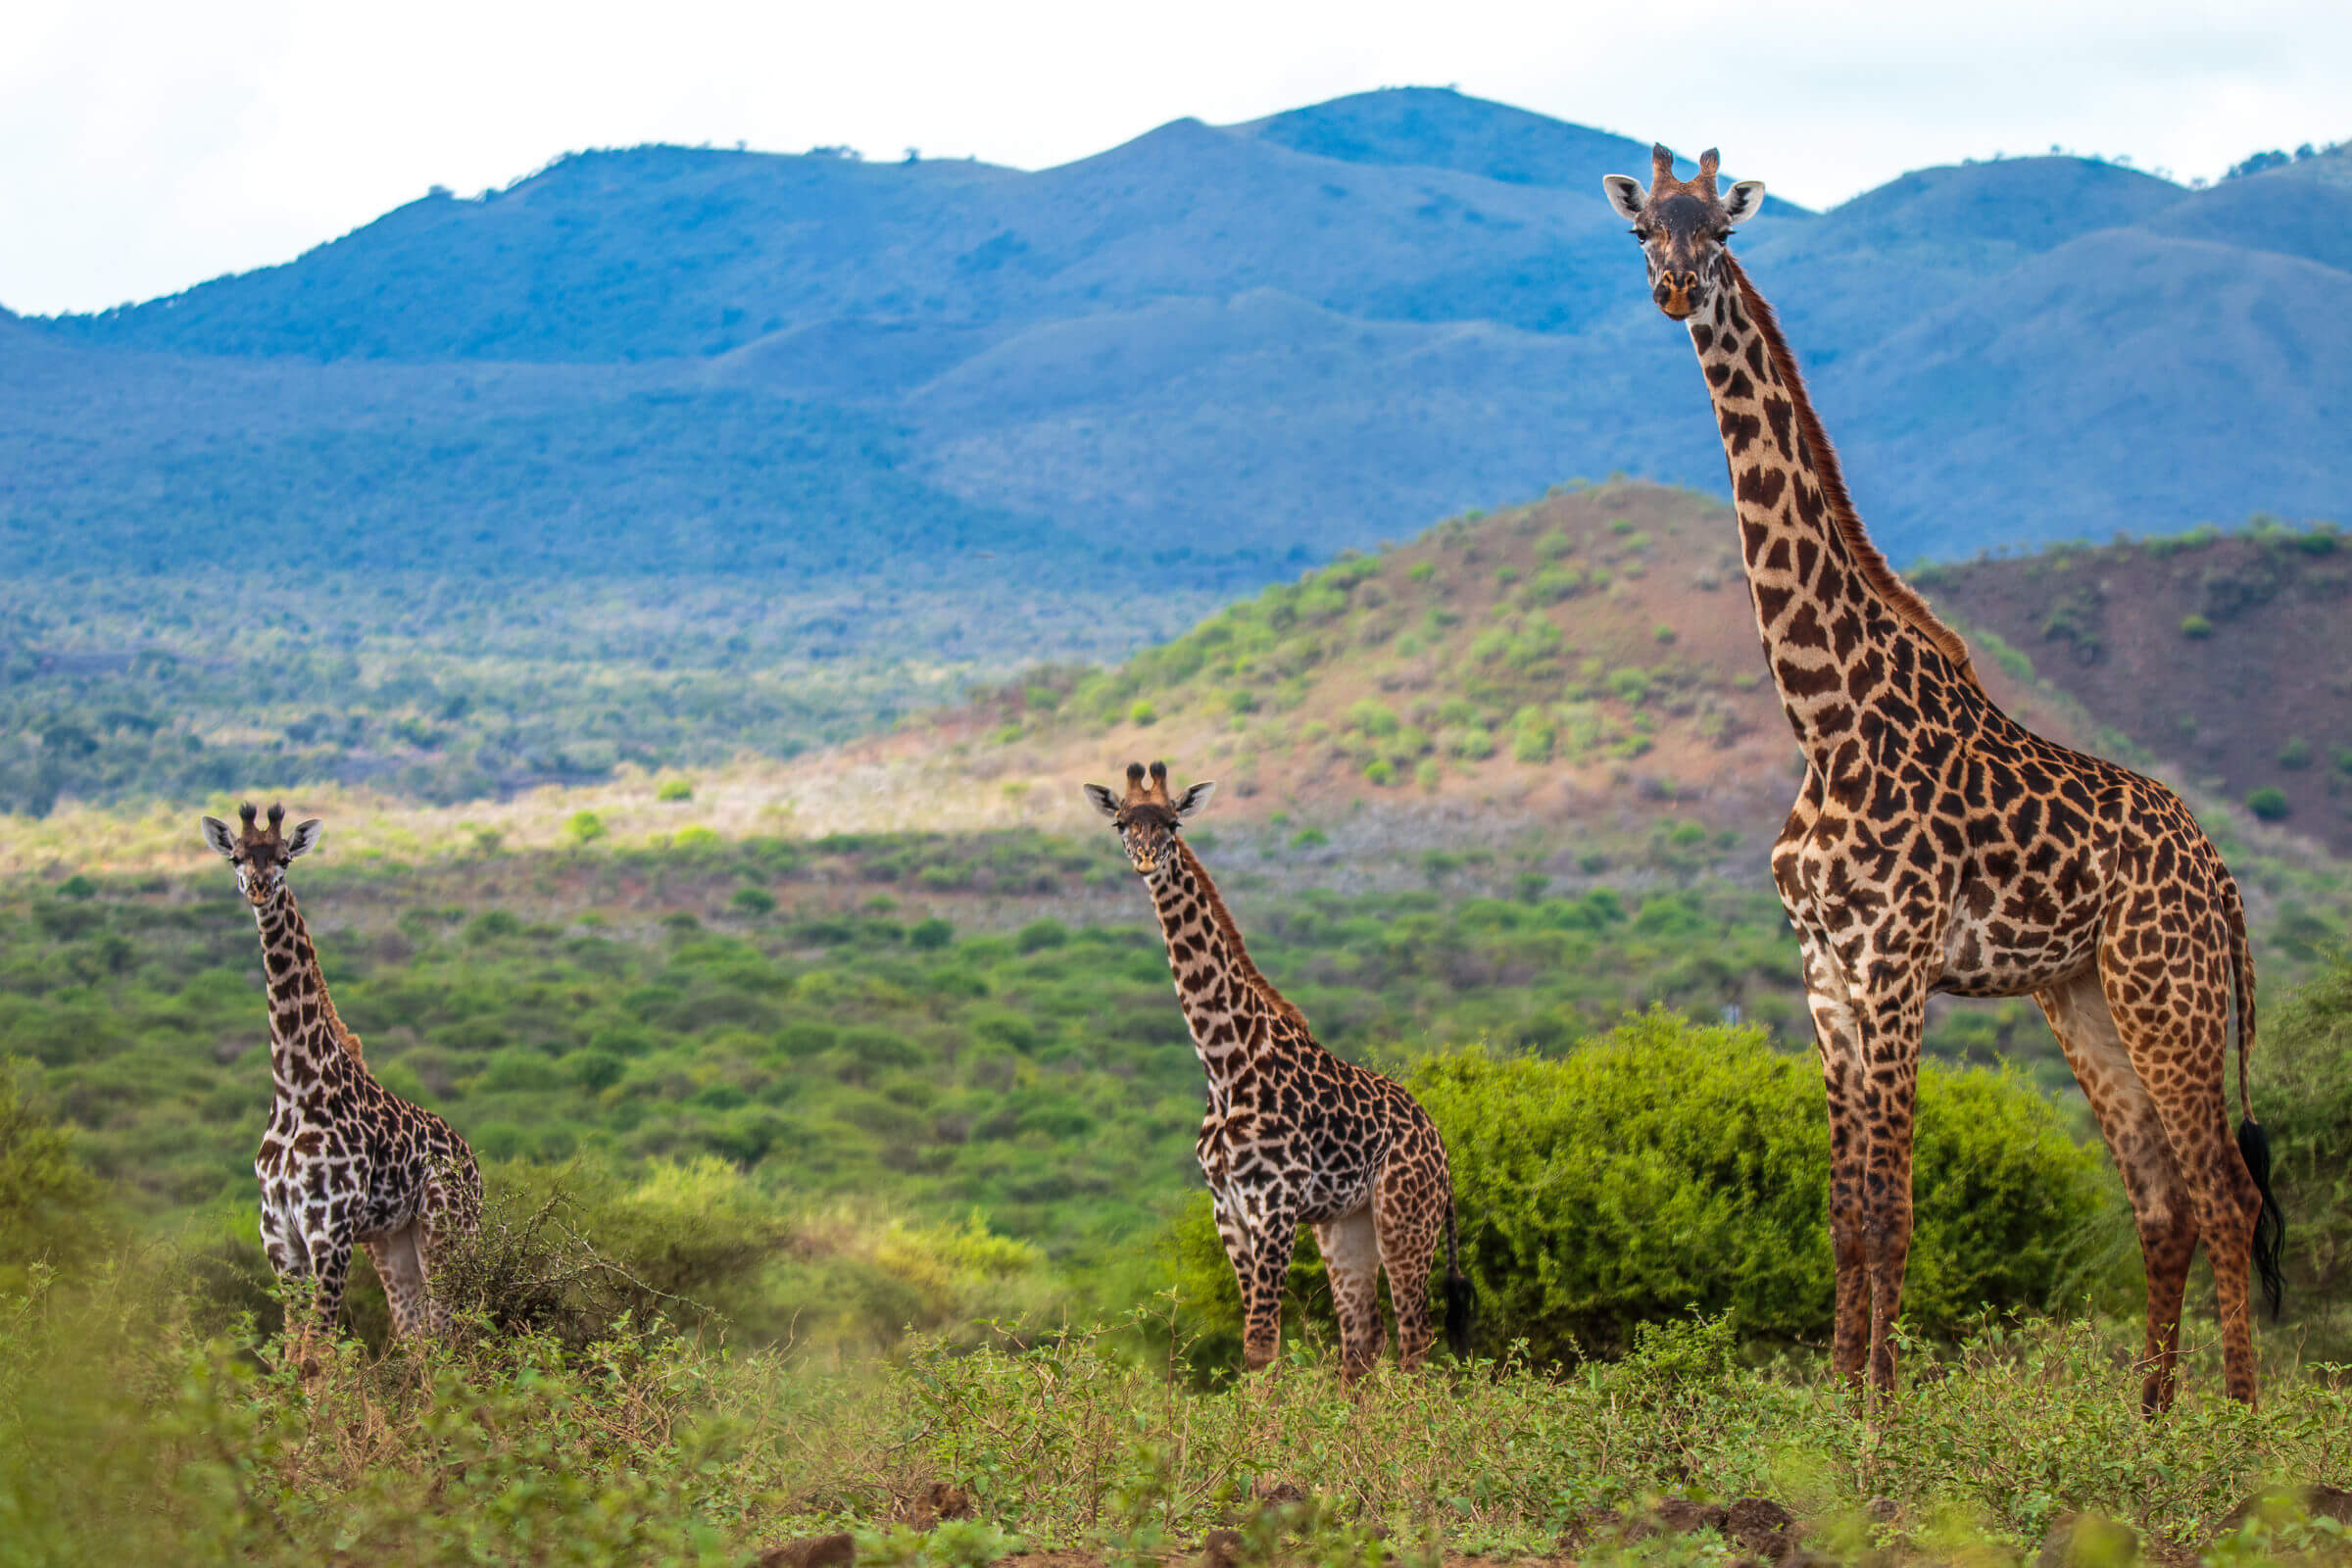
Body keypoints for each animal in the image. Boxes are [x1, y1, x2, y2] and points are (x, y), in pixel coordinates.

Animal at [201, 802, 481, 1358]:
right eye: (238, 856)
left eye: (285, 856)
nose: (259, 888)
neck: (295, 1086)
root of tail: (475, 1167)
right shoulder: (278, 1233)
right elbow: (293, 1349)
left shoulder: (328, 1229)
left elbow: (318, 1353)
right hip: (394, 1242)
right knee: (416, 1335)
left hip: (449, 1234)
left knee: (452, 1333)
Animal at [1085, 762, 1471, 1382]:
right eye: (1122, 822)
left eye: (1172, 822)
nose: (1145, 858)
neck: (1225, 1064)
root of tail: (1441, 1148)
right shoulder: (1228, 1209)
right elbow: (1256, 1342)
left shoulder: (1276, 1204)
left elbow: (1261, 1345)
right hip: (1345, 1225)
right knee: (1363, 1339)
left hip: (1406, 1217)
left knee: (1415, 1339)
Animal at [1602, 146, 2284, 1409]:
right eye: (1643, 232)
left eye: (1721, 229)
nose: (1675, 290)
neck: (1824, 718)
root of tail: (2221, 881)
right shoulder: (1823, 971)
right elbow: (1840, 1215)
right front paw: (1834, 1405)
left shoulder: (1896, 962)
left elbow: (1893, 1212)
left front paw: (1882, 1418)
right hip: (2081, 996)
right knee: (2162, 1200)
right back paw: (2152, 1419)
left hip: (2167, 991)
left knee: (2227, 1190)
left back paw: (2239, 1423)